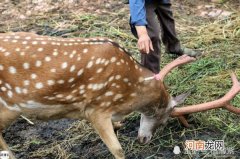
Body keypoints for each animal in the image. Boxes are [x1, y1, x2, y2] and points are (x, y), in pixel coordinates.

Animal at [0, 31, 240, 158]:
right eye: (162, 120)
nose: (144, 140)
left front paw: (119, 125)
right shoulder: (95, 109)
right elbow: (117, 149)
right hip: (10, 105)